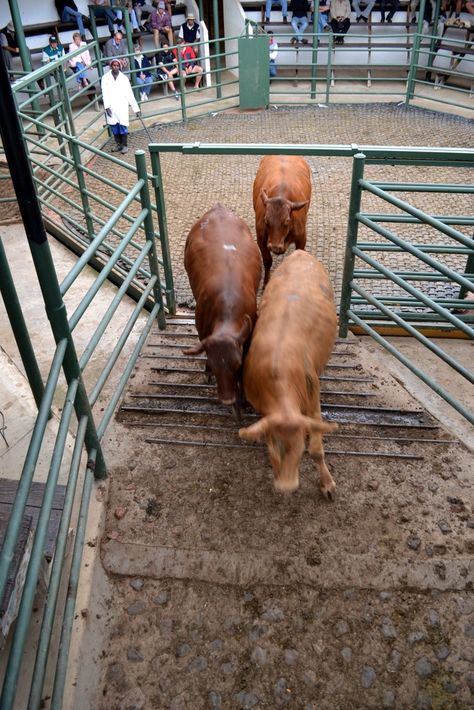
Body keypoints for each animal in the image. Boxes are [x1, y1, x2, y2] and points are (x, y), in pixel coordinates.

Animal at [241, 253, 336, 498]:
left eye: (300, 449)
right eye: (272, 446)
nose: (287, 486)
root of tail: (300, 254)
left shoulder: (312, 396)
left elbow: (317, 449)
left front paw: (327, 483)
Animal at [252, 156, 312, 286]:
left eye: (287, 221)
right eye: (266, 220)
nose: (275, 247)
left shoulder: (301, 237)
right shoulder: (261, 238)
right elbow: (267, 260)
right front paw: (266, 282)